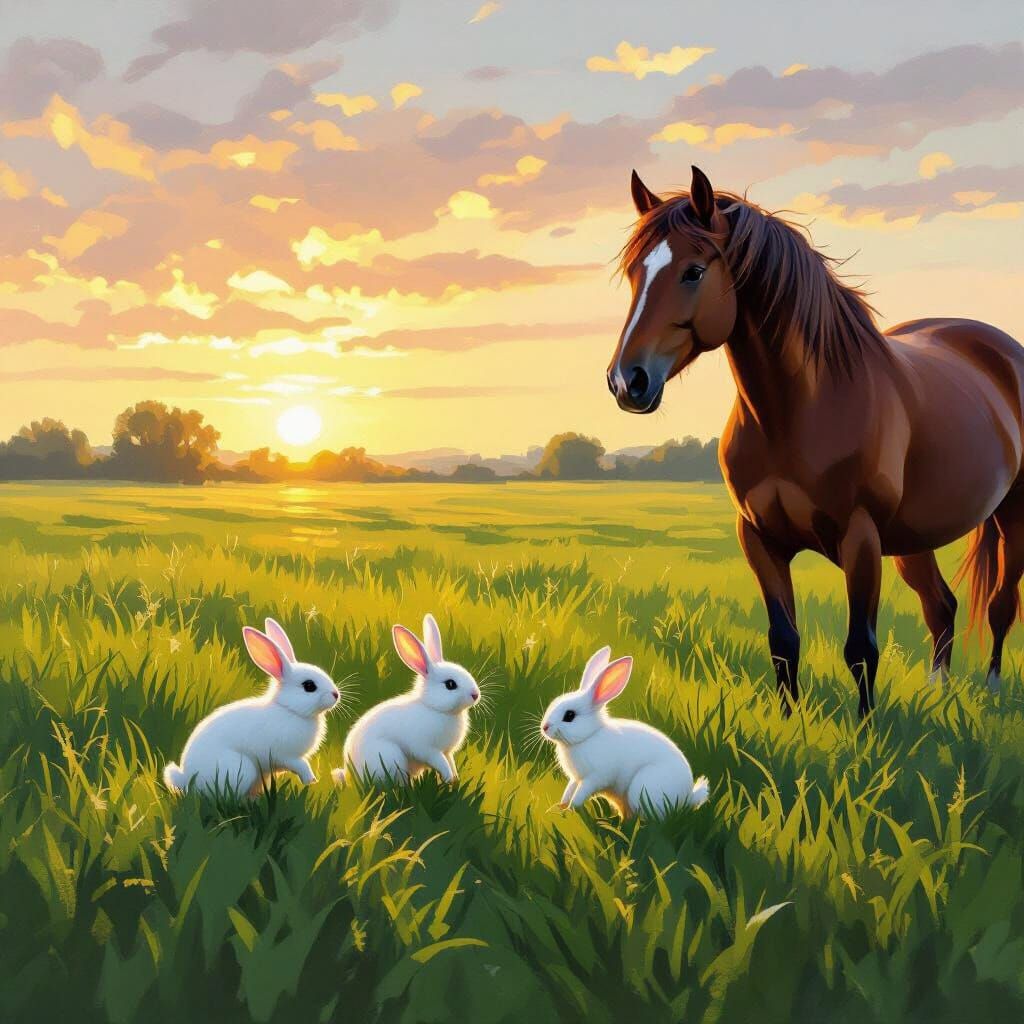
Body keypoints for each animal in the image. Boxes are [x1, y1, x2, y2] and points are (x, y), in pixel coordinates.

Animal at [163, 617, 341, 796]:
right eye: (309, 686)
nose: (336, 694)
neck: (288, 709)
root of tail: (186, 778)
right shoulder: (285, 756)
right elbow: (302, 766)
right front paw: (312, 781)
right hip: (242, 769)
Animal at [332, 613, 479, 786]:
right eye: (450, 684)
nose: (475, 694)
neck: (434, 708)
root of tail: (350, 776)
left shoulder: (447, 752)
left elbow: (450, 762)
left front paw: (455, 779)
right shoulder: (428, 750)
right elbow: (441, 763)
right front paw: (449, 779)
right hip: (390, 757)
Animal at [540, 646, 709, 818]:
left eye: (569, 715)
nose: (544, 727)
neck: (589, 736)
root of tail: (688, 796)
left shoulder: (594, 778)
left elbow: (579, 795)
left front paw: (569, 811)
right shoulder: (575, 778)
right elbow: (568, 792)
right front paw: (557, 808)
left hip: (643, 788)